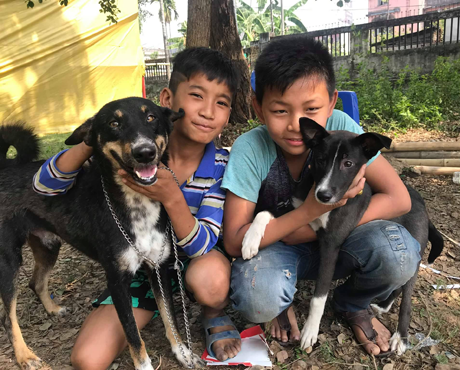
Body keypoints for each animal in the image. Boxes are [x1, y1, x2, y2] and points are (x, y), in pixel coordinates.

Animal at [0, 97, 205, 370]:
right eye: (113, 123)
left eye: (151, 117)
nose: (145, 152)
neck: (137, 203)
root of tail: (5, 166)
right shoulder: (117, 281)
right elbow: (133, 335)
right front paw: (145, 365)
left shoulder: (158, 267)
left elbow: (170, 318)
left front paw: (182, 352)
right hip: (8, 261)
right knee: (7, 316)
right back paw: (25, 355)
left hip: (48, 246)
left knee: (36, 282)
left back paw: (53, 309)